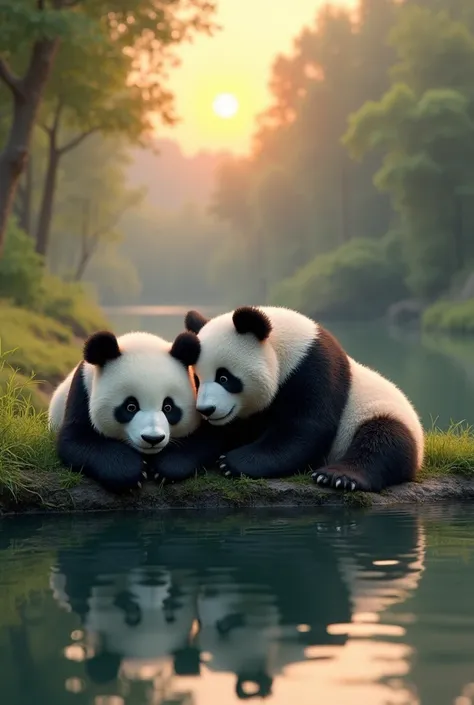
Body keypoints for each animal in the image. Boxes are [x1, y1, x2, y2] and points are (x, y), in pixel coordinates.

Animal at [49, 328, 205, 490]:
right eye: (131, 407)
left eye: (168, 407)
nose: (153, 439)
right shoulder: (83, 392)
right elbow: (77, 440)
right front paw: (130, 472)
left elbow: (199, 442)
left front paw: (165, 467)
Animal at [181, 306, 426, 492]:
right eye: (197, 379)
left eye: (224, 377)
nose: (206, 409)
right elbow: (216, 433)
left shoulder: (313, 368)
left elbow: (305, 428)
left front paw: (232, 462)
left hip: (379, 413)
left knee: (382, 441)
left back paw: (337, 477)